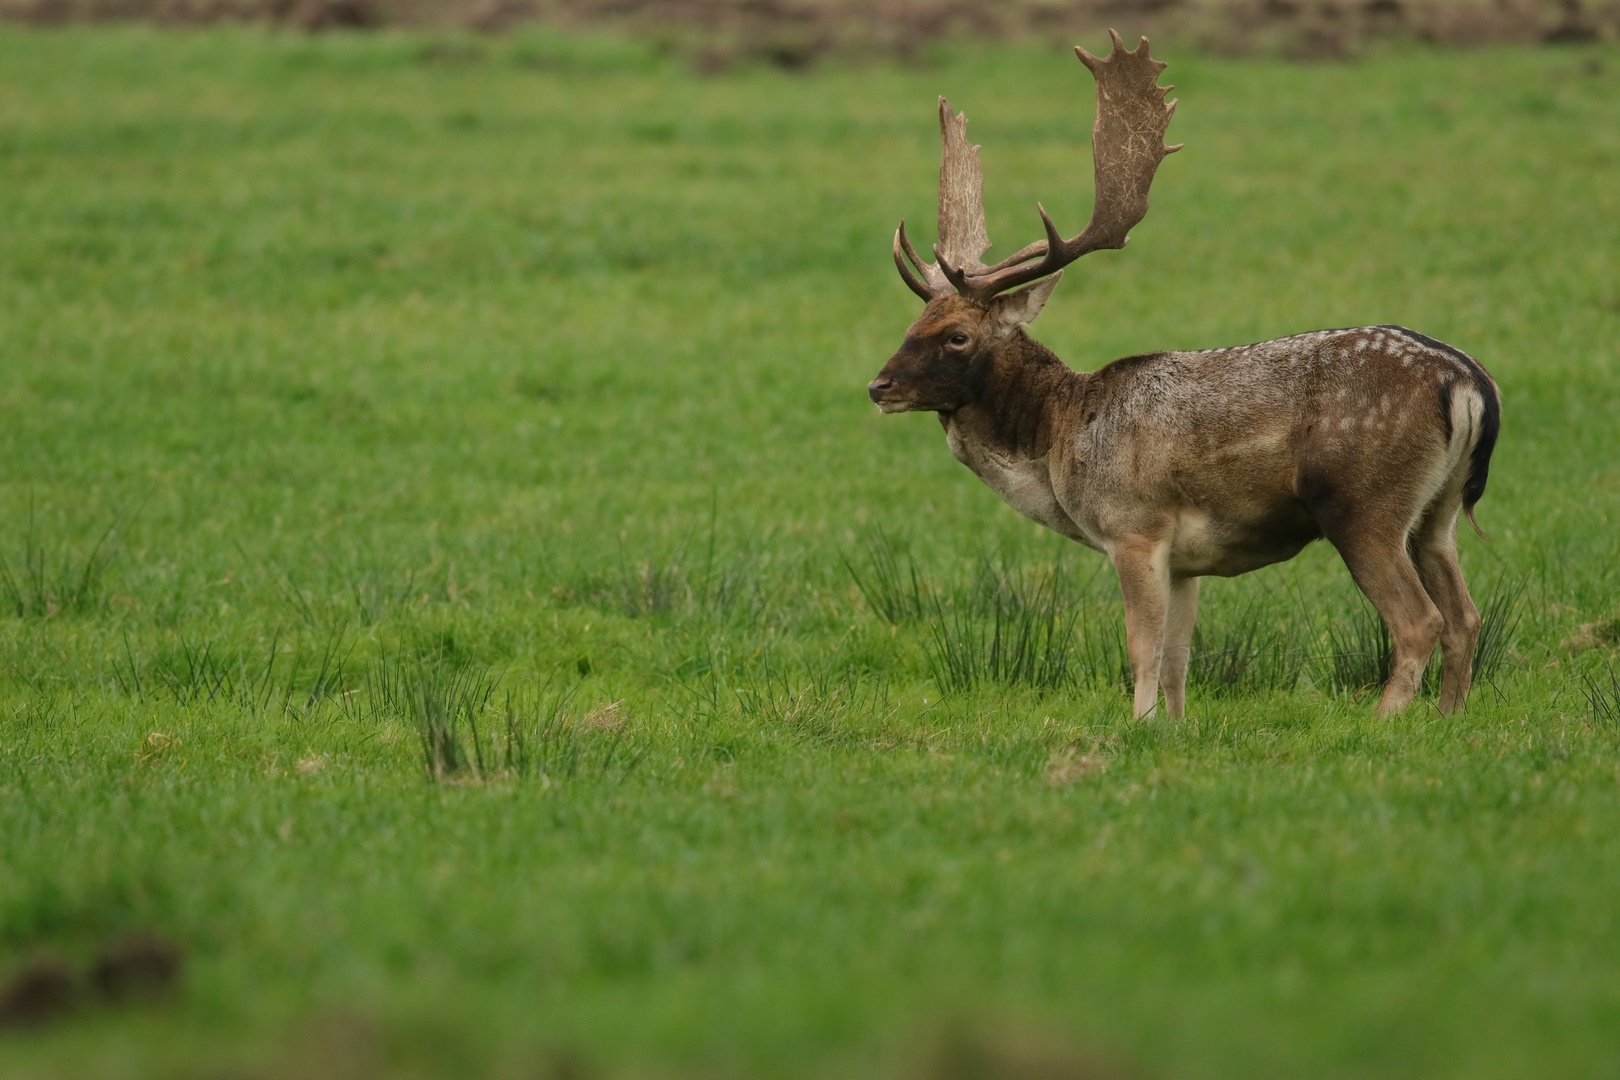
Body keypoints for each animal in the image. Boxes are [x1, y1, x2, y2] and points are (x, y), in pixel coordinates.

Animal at [868, 33, 1496, 722]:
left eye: (957, 335)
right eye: (914, 321)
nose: (879, 387)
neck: (1061, 439)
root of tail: (1469, 383)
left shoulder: (1134, 527)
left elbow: (1141, 649)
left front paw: (1134, 725)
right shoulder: (1186, 561)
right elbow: (1178, 659)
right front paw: (1170, 726)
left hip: (1363, 504)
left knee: (1419, 621)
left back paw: (1382, 722)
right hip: (1437, 511)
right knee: (1466, 616)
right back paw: (1447, 719)